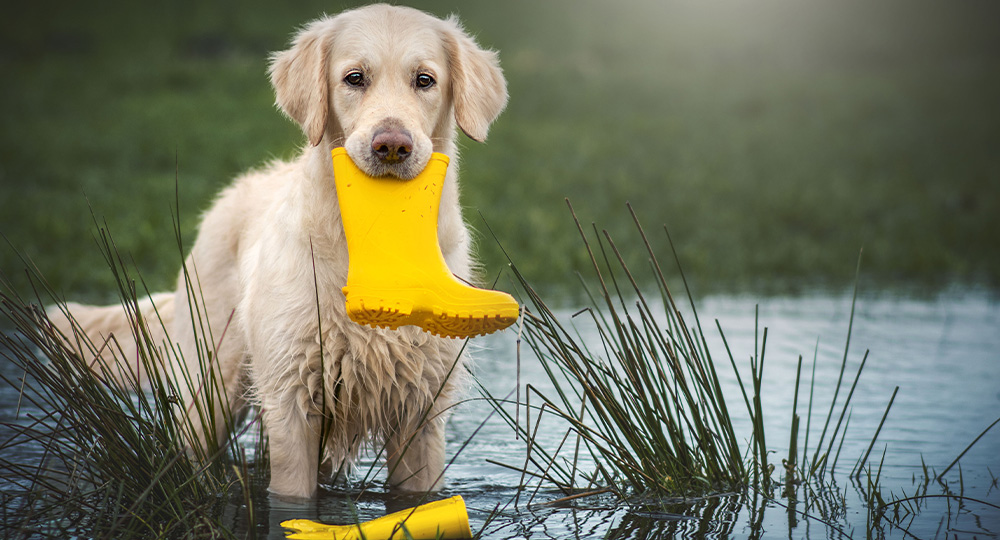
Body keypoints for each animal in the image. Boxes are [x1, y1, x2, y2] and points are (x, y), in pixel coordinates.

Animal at [52, 4, 508, 498]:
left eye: (425, 80)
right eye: (354, 78)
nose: (391, 145)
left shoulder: (421, 411)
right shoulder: (293, 398)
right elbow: (292, 496)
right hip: (211, 385)